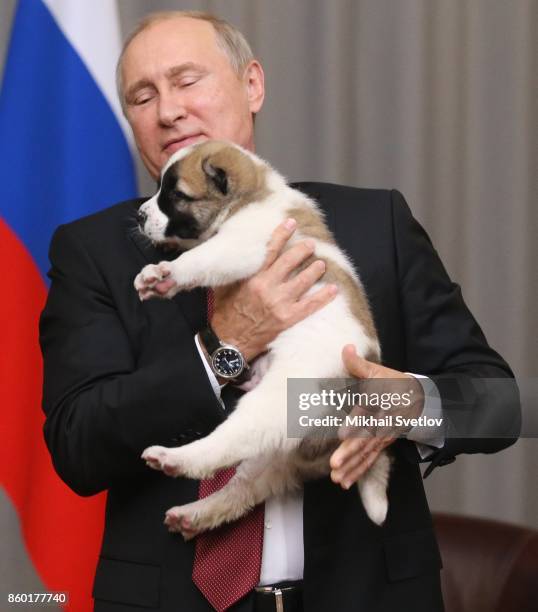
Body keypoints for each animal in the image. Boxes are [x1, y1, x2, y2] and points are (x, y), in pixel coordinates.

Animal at [132, 141, 388, 536]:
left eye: (176, 195)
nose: (140, 215)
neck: (252, 195)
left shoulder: (243, 245)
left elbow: (200, 259)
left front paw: (164, 275)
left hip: (275, 405)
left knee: (223, 446)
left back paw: (173, 459)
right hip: (276, 455)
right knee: (242, 489)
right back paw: (193, 514)